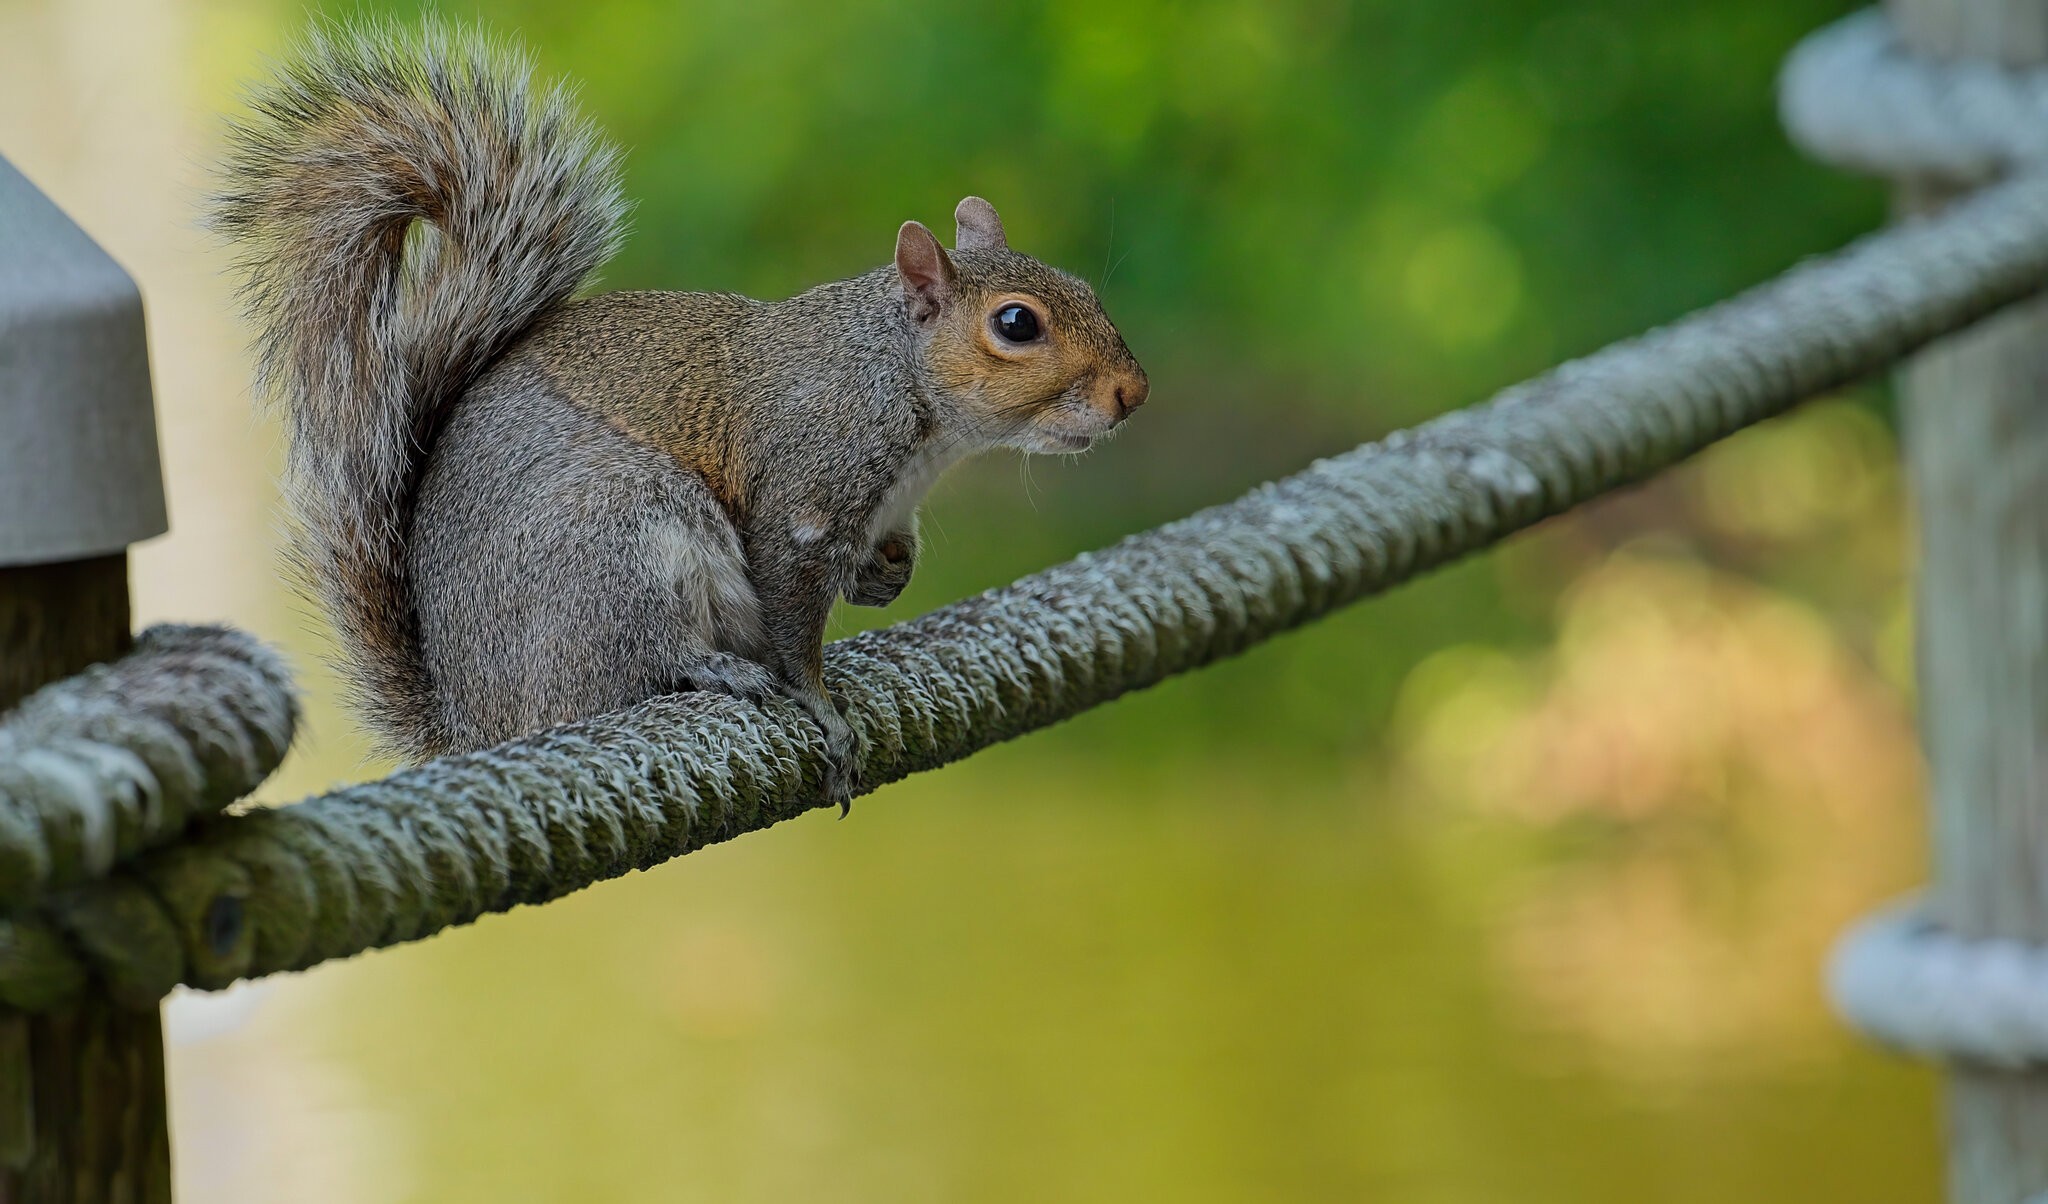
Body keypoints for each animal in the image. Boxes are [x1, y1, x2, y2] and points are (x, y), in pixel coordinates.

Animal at [214, 21, 1146, 810]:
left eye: (1086, 289)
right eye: (1016, 324)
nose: (1131, 393)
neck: (899, 389)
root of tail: (480, 723)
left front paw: (887, 573)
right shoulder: (802, 495)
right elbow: (794, 621)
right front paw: (821, 708)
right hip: (615, 540)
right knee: (628, 667)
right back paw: (711, 670)